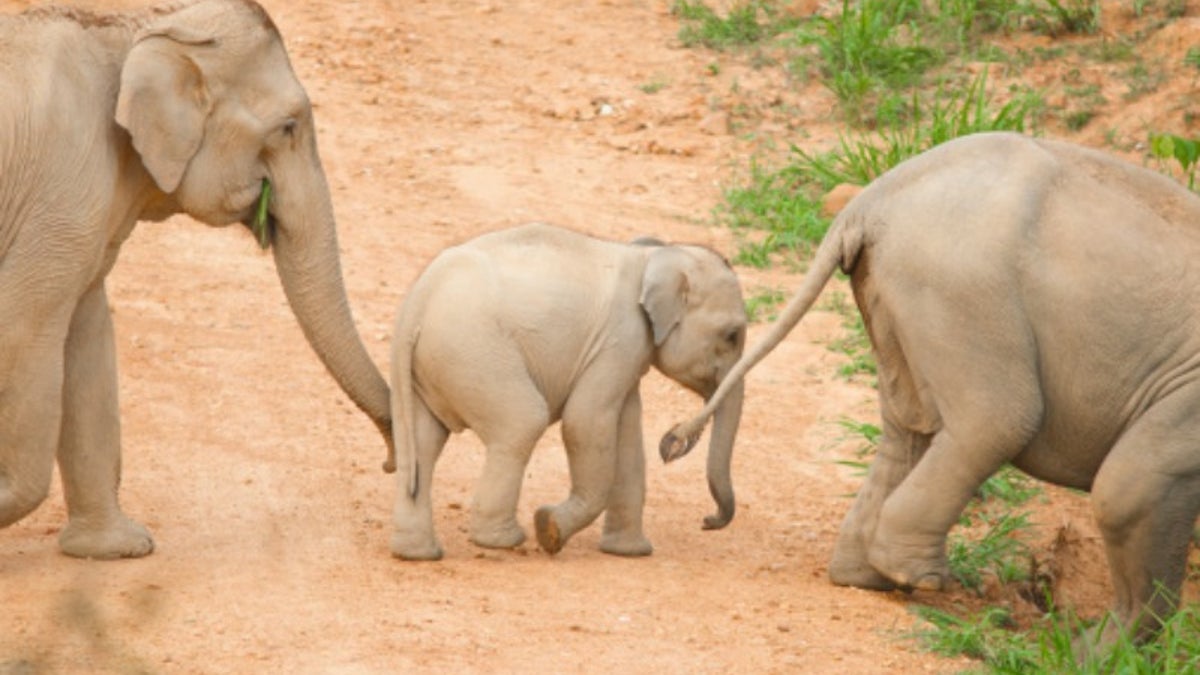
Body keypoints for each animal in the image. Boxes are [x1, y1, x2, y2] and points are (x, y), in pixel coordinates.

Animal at [0, 1, 391, 557]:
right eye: (289, 127)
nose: (390, 462)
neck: (138, 29)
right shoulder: (64, 187)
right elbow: (24, 330)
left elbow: (88, 337)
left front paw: (118, 549)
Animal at [388, 220, 744, 557]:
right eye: (732, 335)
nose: (708, 521)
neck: (652, 256)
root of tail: (418, 301)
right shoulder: (620, 338)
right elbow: (585, 423)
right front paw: (549, 529)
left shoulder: (626, 356)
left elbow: (627, 433)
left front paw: (630, 552)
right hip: (474, 352)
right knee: (522, 422)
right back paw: (502, 541)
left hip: (427, 368)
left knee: (421, 446)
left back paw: (418, 554)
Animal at [672, 131, 1200, 653]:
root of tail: (866, 203)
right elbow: (1130, 488)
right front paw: (1091, 655)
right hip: (962, 290)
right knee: (1000, 421)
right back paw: (924, 580)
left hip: (899, 292)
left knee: (909, 426)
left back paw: (866, 576)